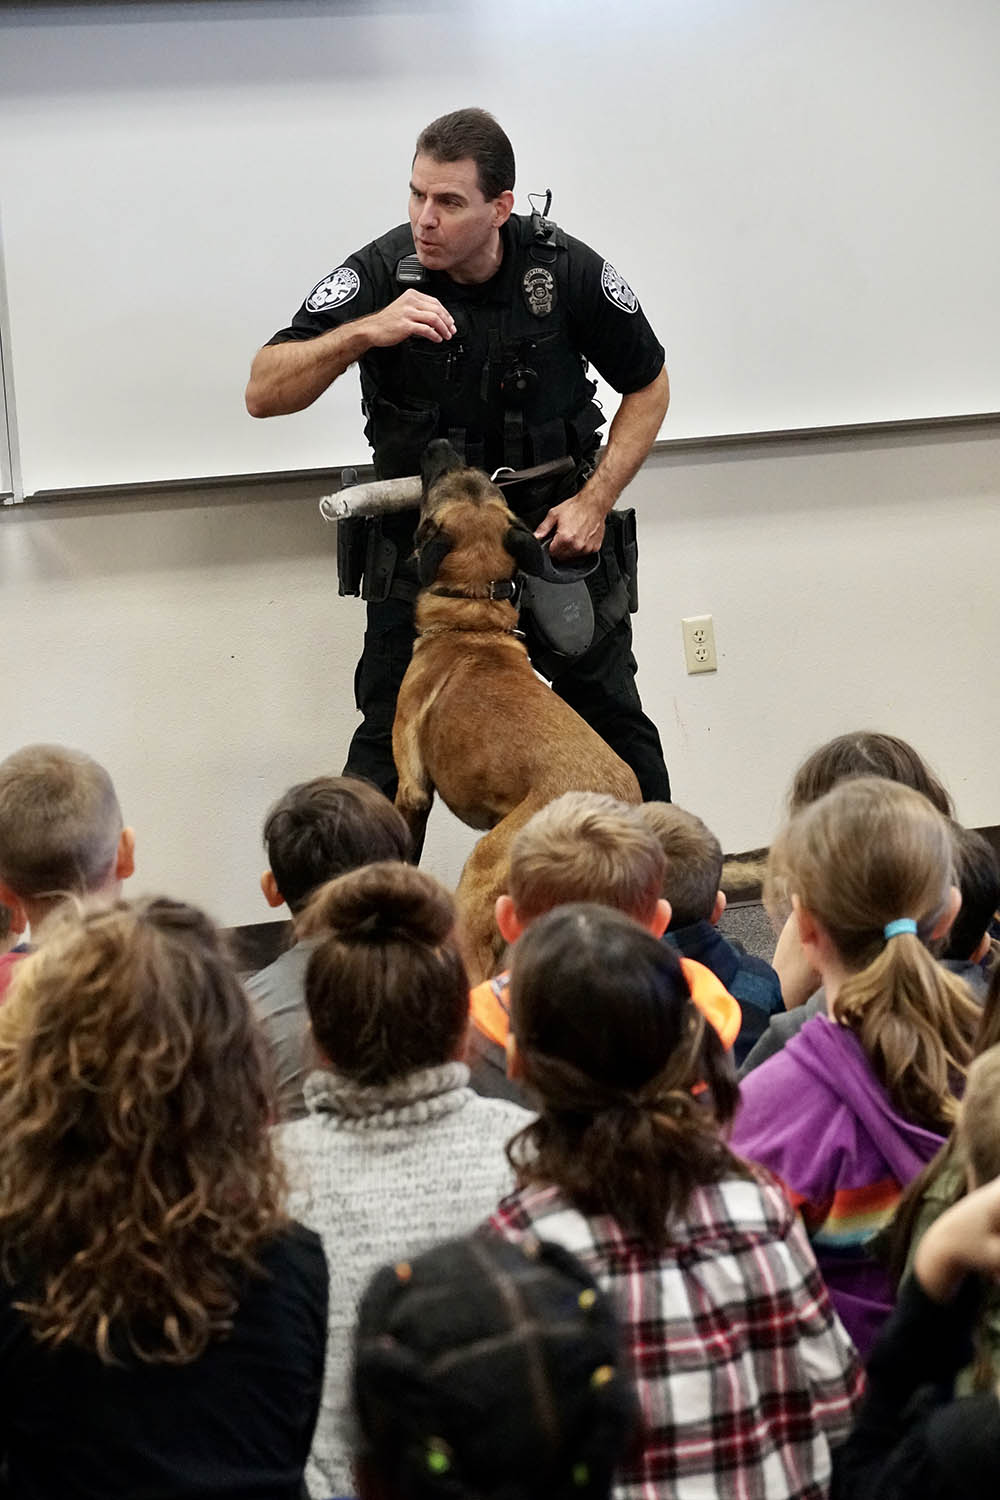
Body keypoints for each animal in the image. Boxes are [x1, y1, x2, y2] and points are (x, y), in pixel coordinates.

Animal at [392, 438, 641, 984]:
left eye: (441, 482)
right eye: (474, 476)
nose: (441, 443)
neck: (472, 620)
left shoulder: (412, 786)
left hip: (483, 872)